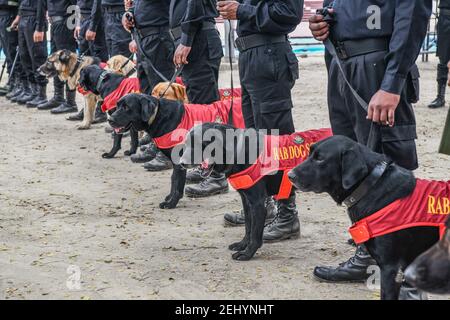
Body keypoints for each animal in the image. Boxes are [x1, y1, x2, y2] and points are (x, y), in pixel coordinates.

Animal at [107, 92, 244, 210]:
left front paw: (171, 203)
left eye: (126, 107)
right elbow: (174, 180)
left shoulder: (180, 163)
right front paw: (169, 198)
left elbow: (177, 185)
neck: (157, 116)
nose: (110, 120)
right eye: (118, 106)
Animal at [178, 122, 332, 260]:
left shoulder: (257, 204)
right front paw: (242, 245)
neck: (238, 149)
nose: (181, 163)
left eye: (200, 143)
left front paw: (247, 254)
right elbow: (248, 227)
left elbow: (255, 233)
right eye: (186, 143)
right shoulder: (246, 201)